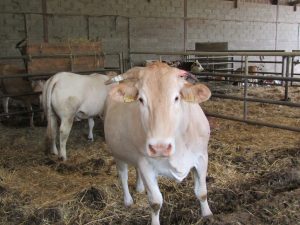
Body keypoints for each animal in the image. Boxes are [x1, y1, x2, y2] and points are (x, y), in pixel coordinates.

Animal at [104, 62, 212, 225]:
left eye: (176, 98)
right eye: (141, 99)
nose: (159, 148)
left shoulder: (202, 157)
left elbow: (202, 192)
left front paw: (207, 215)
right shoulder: (145, 164)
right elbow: (155, 202)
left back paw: (140, 188)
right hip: (118, 154)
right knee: (123, 176)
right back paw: (128, 200)